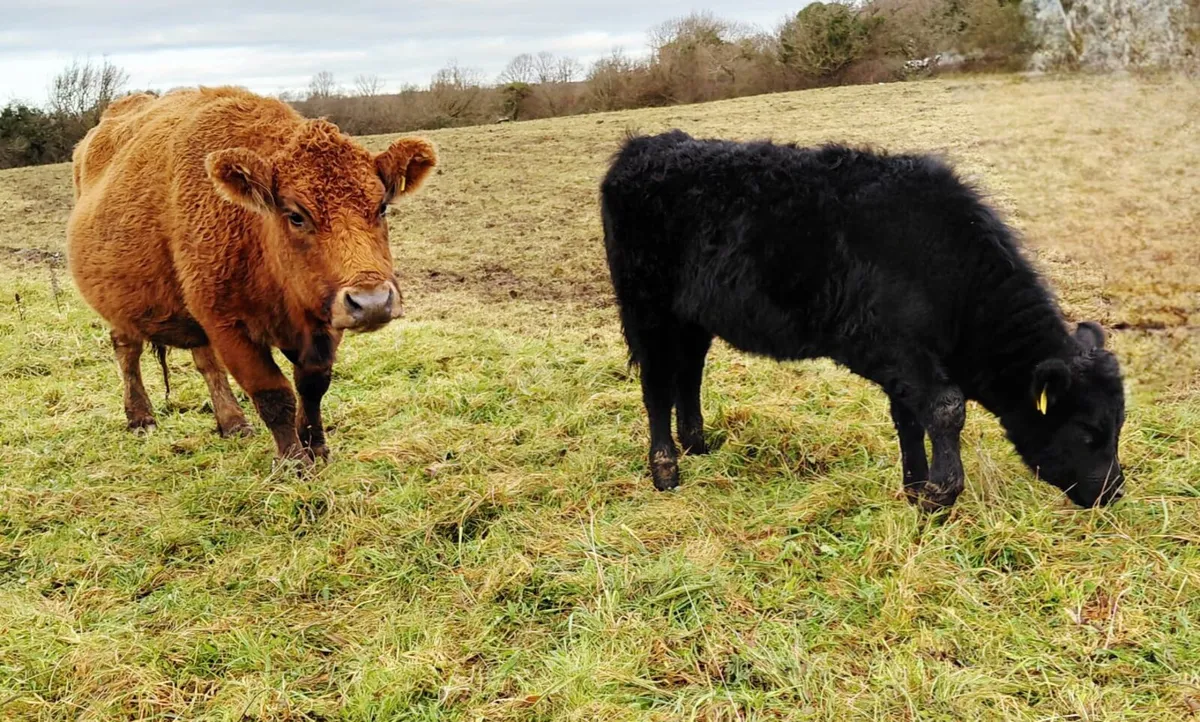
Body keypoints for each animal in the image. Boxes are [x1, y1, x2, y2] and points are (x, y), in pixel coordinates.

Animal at [67, 87, 437, 465]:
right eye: (296, 215)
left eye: (381, 207)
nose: (372, 302)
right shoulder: (228, 326)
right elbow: (273, 395)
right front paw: (294, 462)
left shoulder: (321, 323)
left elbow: (312, 386)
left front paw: (316, 447)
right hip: (120, 308)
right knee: (127, 350)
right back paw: (141, 418)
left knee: (205, 361)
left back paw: (232, 422)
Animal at [600, 130, 1127, 510]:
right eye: (1087, 431)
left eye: (1118, 426)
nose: (1113, 492)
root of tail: (647, 144)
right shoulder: (893, 347)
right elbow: (946, 408)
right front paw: (941, 495)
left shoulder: (904, 360)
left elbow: (910, 417)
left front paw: (915, 488)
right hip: (646, 307)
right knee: (656, 384)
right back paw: (666, 470)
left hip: (692, 317)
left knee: (688, 373)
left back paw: (698, 444)